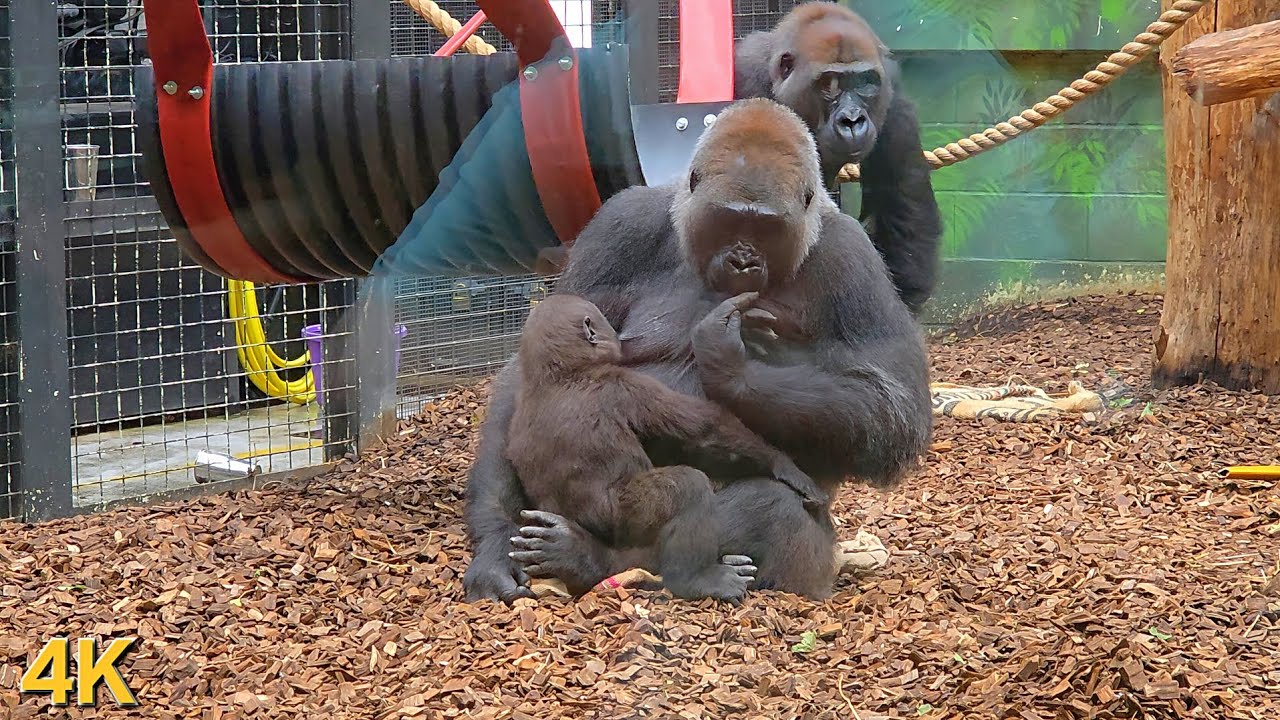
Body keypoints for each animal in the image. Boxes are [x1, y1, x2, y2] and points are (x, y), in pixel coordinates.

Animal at [504, 292, 826, 600]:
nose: (617, 336)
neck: (558, 374)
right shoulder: (626, 386)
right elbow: (705, 430)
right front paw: (782, 464)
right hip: (623, 519)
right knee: (687, 487)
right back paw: (695, 579)